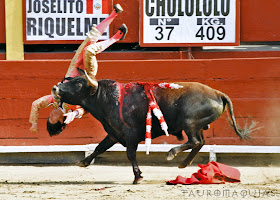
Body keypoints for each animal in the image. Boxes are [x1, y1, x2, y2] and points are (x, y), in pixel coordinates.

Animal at [50, 75, 256, 184]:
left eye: (78, 84)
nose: (55, 88)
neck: (106, 98)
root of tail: (218, 93)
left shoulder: (130, 135)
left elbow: (130, 154)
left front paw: (137, 176)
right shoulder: (114, 133)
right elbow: (100, 147)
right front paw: (84, 162)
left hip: (189, 122)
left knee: (195, 141)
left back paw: (171, 154)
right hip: (197, 125)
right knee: (200, 142)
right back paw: (183, 164)